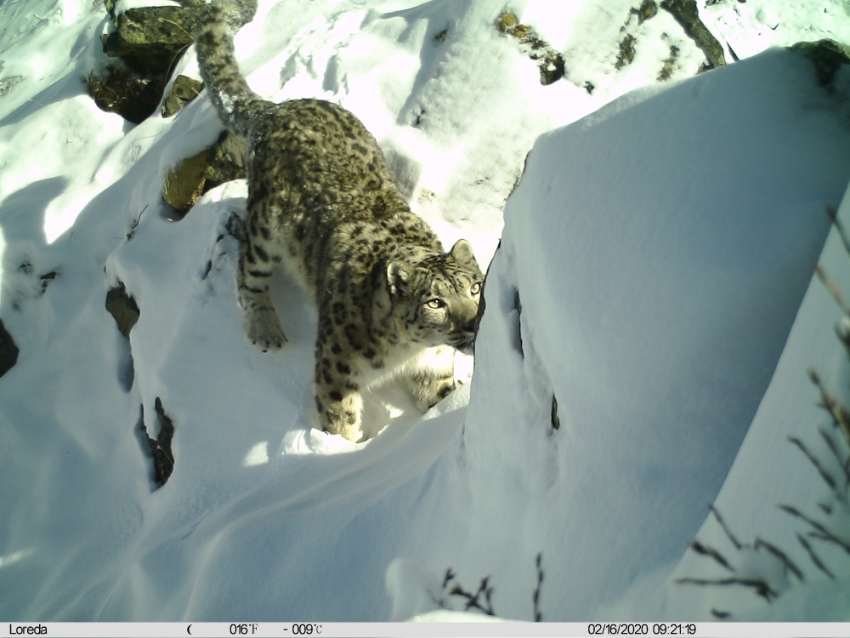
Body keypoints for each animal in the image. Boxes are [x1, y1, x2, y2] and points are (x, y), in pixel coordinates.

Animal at [195, 0, 480, 444]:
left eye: (475, 287)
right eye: (435, 302)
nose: (473, 322)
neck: (408, 351)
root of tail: (276, 108)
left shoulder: (433, 368)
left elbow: (439, 397)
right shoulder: (337, 367)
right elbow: (339, 418)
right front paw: (340, 450)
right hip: (265, 228)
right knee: (247, 272)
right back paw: (265, 328)